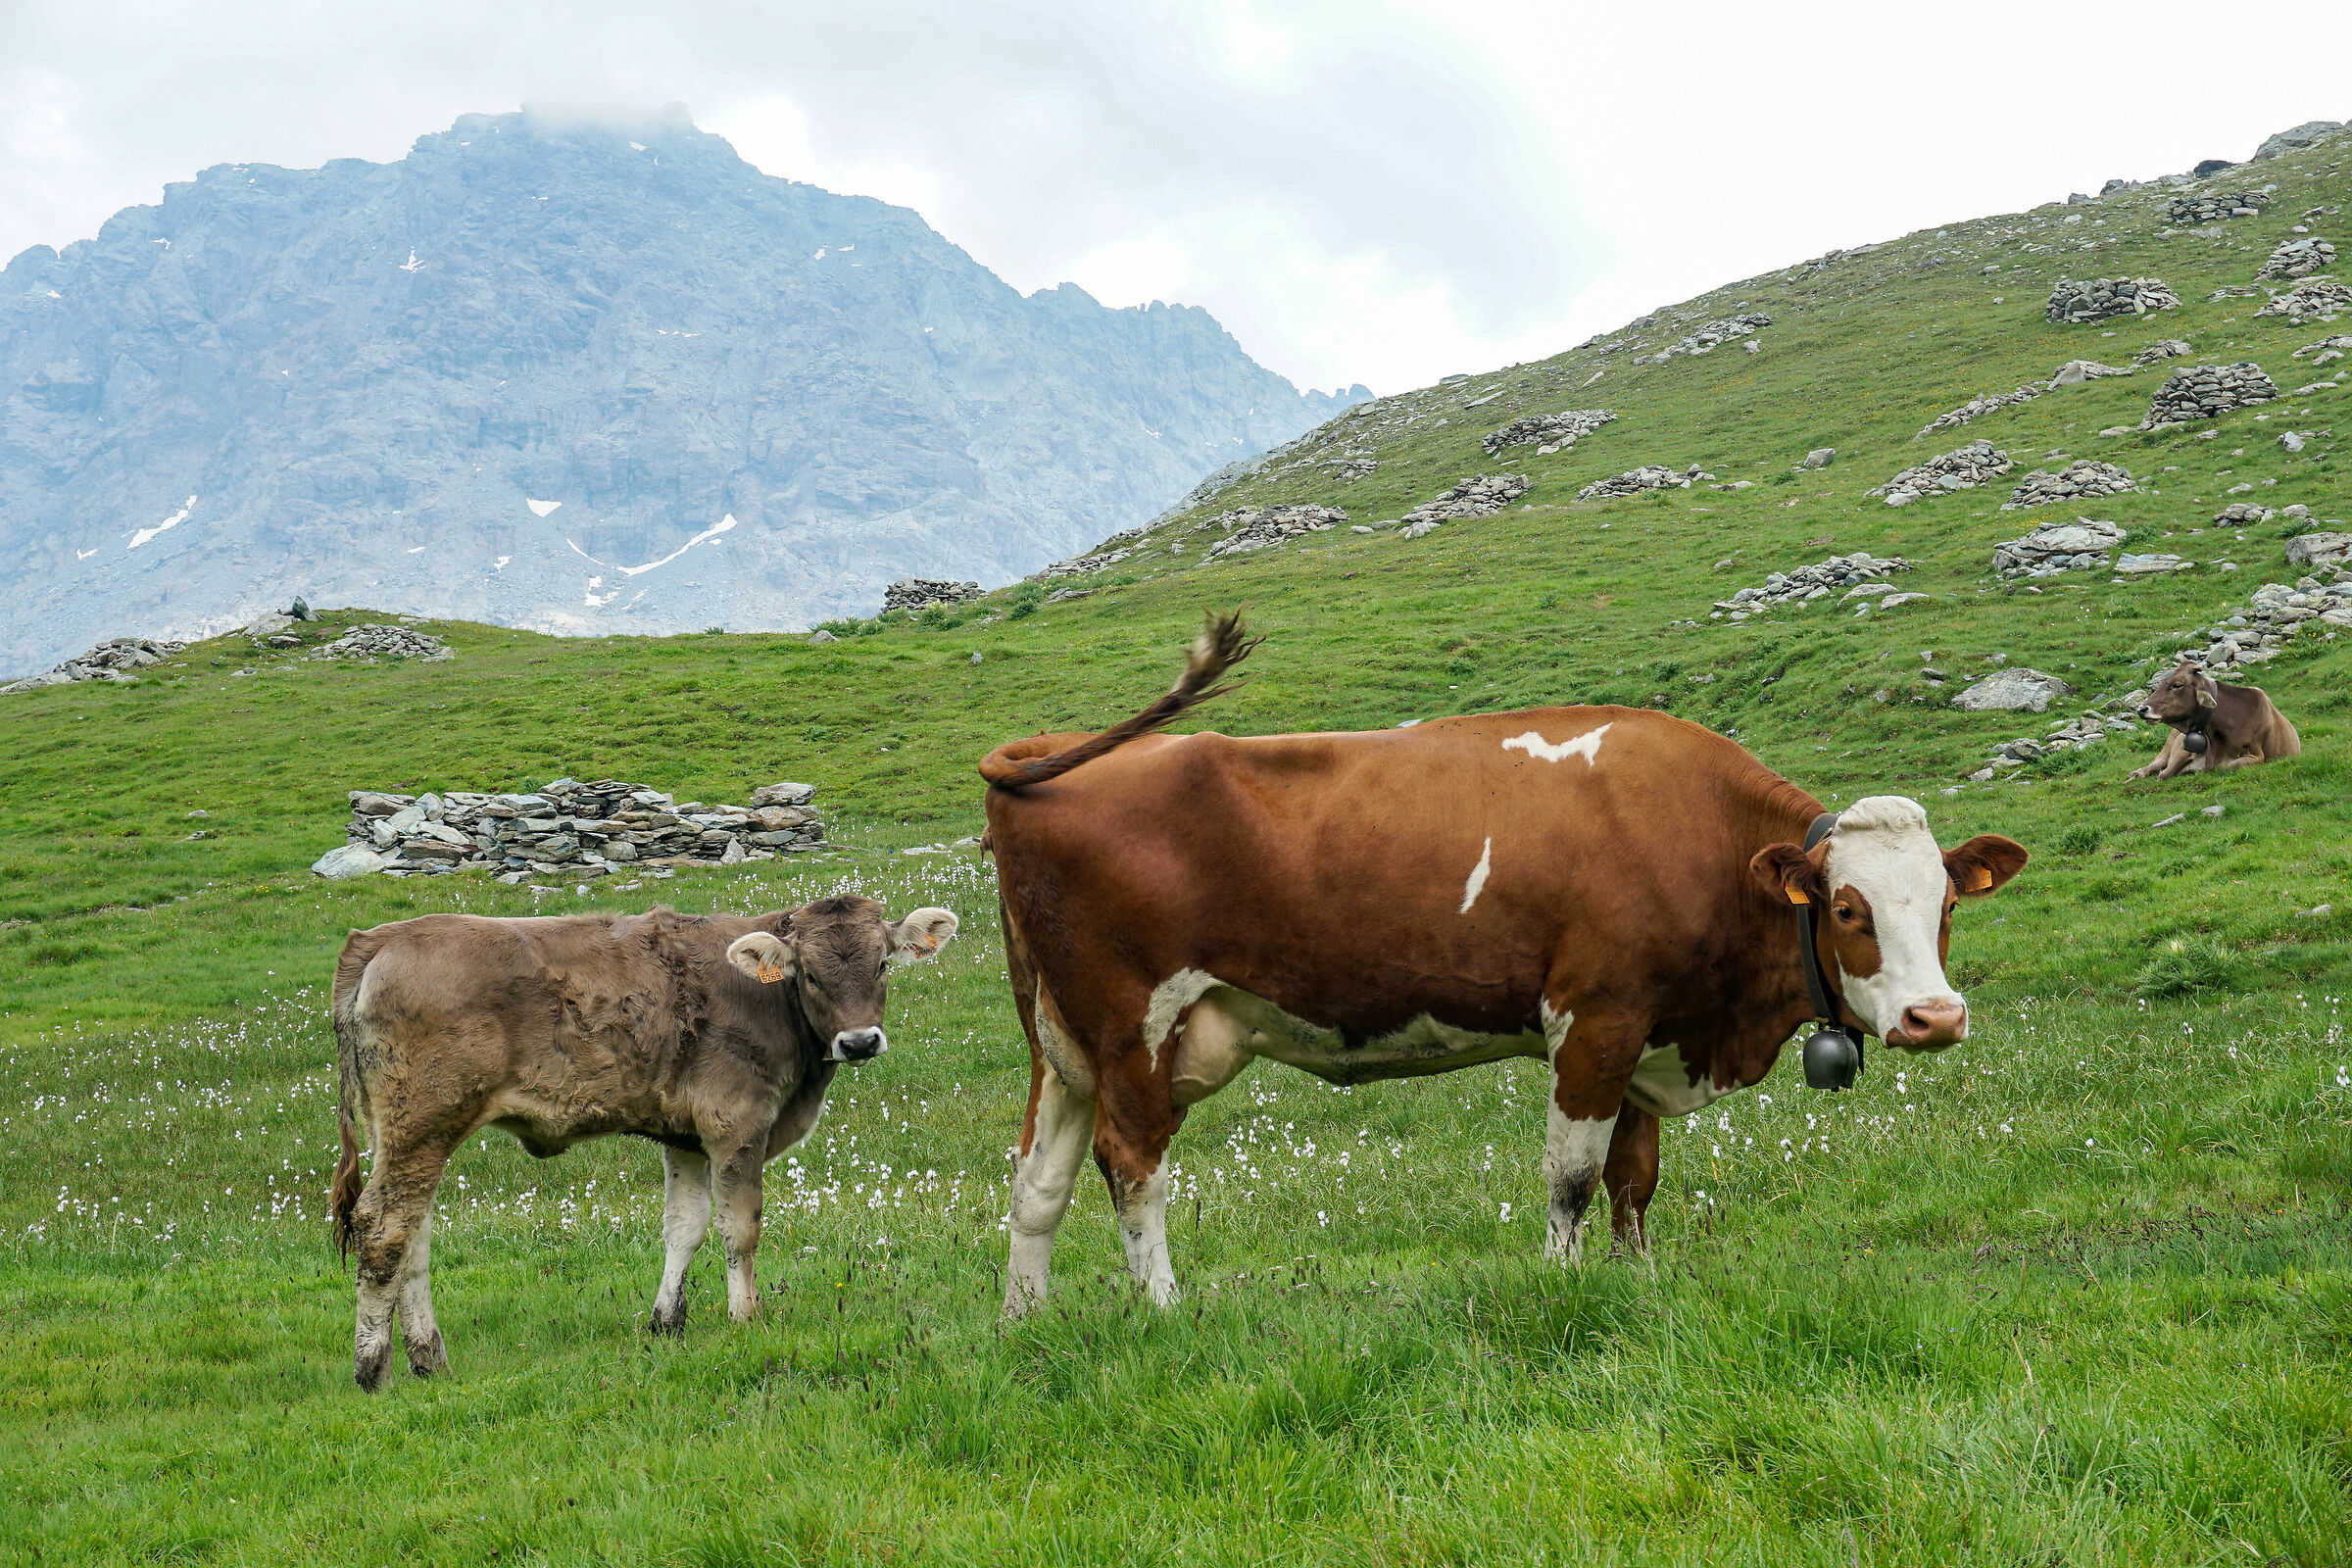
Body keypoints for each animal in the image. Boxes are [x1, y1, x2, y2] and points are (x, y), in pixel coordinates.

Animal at [328, 896, 957, 1391]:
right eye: (809, 975)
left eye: (882, 964)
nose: (859, 1042)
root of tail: (383, 936)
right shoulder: (736, 1124)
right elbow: (739, 1229)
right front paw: (745, 1318)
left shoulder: (686, 1135)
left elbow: (685, 1226)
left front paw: (666, 1322)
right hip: (423, 1124)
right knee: (385, 1228)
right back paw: (372, 1370)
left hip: (407, 1133)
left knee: (414, 1237)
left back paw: (429, 1359)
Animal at [980, 614, 2025, 1316]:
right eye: (1848, 910)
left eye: (1946, 906)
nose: (1936, 1018)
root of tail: (1056, 752)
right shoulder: (1595, 1018)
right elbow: (1573, 1176)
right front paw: (1564, 1287)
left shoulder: (1649, 1029)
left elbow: (1634, 1177)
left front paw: (1636, 1277)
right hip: (1135, 1026)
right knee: (1132, 1165)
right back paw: (1164, 1309)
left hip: (1064, 1042)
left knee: (1039, 1181)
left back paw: (1025, 1323)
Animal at [2128, 661, 2301, 778]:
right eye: (2162, 681)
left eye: (2177, 685)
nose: (2142, 709)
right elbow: (2165, 772)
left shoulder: (2257, 756)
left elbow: (2227, 766)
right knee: (2157, 762)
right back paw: (2137, 773)